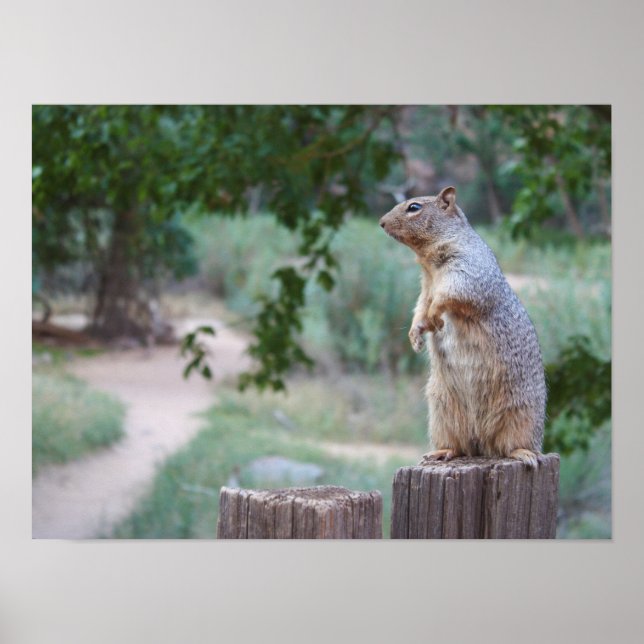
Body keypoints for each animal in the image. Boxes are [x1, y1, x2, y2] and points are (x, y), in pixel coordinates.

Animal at [379, 186, 546, 467]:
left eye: (414, 207)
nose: (381, 222)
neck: (428, 264)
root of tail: (483, 443)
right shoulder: (426, 287)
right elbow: (420, 307)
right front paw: (416, 335)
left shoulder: (467, 268)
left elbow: (450, 295)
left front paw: (436, 317)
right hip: (442, 413)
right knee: (459, 445)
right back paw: (442, 451)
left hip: (523, 415)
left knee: (513, 444)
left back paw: (524, 453)